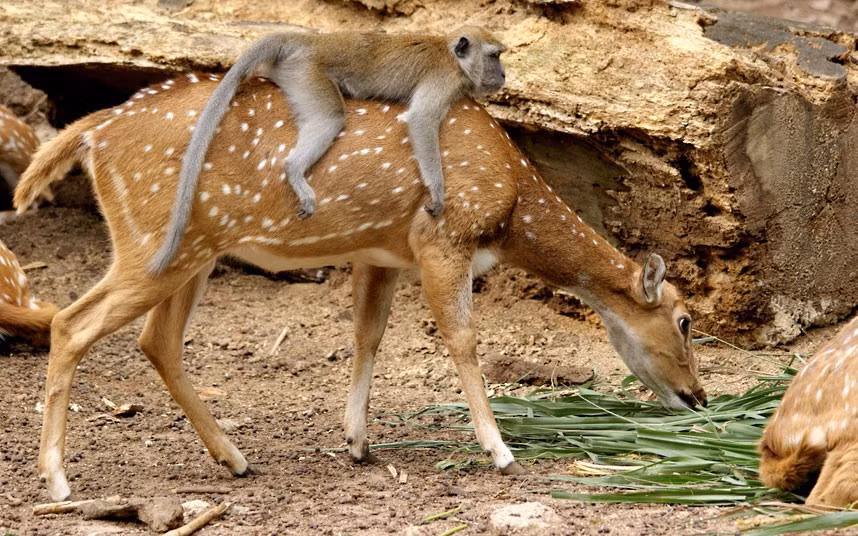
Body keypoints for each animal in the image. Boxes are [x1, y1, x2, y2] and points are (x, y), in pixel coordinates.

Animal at [14, 73, 707, 502]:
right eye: (684, 321)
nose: (699, 398)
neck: (512, 204)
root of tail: (93, 131)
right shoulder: (442, 237)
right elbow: (462, 340)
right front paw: (500, 450)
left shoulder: (383, 253)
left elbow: (367, 336)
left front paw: (357, 443)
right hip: (156, 240)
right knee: (71, 322)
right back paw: (58, 481)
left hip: (192, 252)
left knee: (156, 341)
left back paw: (234, 458)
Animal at [150, 27, 506, 275]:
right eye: (494, 56)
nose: (504, 74)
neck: (454, 58)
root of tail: (311, 42)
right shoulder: (444, 80)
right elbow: (421, 120)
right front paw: (437, 192)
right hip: (309, 74)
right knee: (330, 117)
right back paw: (295, 170)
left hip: (294, 76)